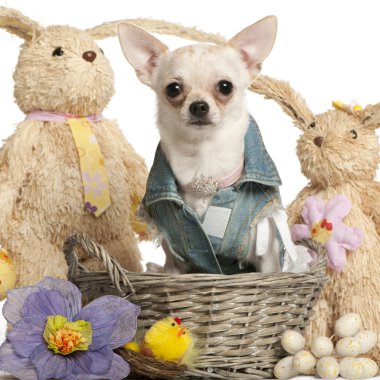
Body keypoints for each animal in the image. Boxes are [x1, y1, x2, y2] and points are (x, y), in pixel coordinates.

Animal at [117, 17, 310, 274]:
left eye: (225, 87)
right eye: (173, 89)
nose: (199, 105)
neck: (204, 163)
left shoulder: (267, 257)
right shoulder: (174, 264)